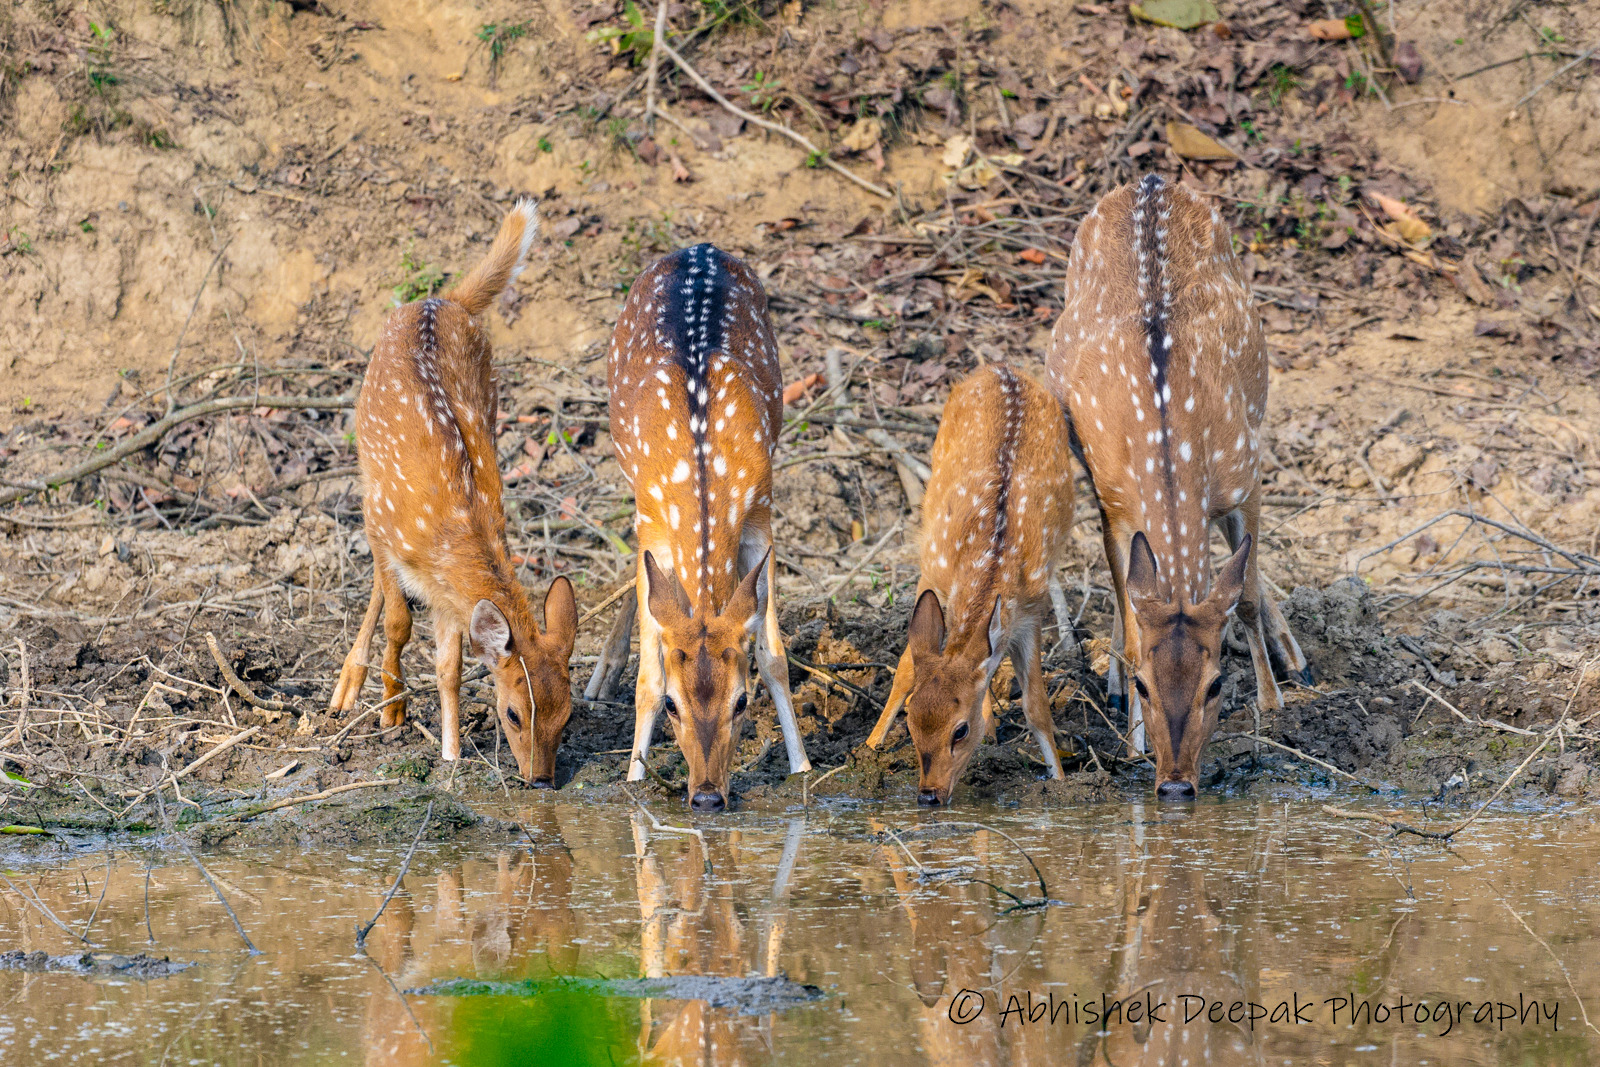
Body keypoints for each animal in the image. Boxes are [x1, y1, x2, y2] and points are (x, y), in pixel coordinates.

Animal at [328, 202, 579, 783]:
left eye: (569, 714)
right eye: (512, 713)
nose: (541, 778)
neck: (455, 529)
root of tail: (443, 299)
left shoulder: (446, 593)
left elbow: (449, 667)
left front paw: (451, 754)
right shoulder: (385, 528)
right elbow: (399, 622)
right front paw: (393, 712)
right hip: (367, 479)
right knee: (379, 591)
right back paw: (349, 689)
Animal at [601, 241, 812, 809]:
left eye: (741, 701)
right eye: (674, 705)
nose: (708, 797)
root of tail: (700, 246)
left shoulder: (762, 508)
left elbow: (774, 656)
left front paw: (803, 769)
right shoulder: (650, 518)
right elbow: (648, 677)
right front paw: (633, 780)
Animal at [864, 363, 1075, 806]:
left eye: (959, 730)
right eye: (910, 721)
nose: (929, 794)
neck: (991, 558)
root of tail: (1003, 369)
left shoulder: (1032, 607)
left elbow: (1036, 707)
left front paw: (1061, 779)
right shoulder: (933, 570)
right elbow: (905, 668)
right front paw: (869, 746)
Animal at [1049, 175, 1312, 796]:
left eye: (1215, 683)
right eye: (1147, 683)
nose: (1174, 785)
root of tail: (1149, 180)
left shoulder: (1246, 474)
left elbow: (1241, 595)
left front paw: (1272, 707)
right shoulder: (1114, 498)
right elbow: (1130, 623)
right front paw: (1131, 742)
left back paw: (1295, 657)